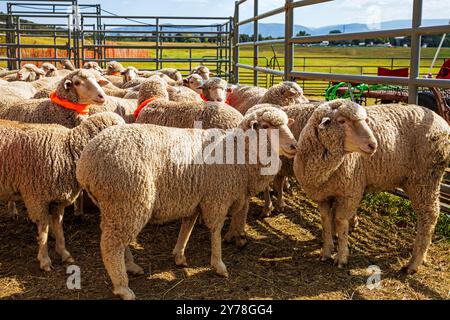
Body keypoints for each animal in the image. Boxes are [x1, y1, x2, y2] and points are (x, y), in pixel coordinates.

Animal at [0, 112, 125, 270]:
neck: (68, 148)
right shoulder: (36, 197)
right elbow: (44, 229)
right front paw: (45, 259)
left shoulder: (57, 199)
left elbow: (58, 226)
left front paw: (64, 253)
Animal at [75, 105, 298, 300]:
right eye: (266, 126)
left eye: (287, 124)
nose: (294, 146)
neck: (238, 151)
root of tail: (85, 164)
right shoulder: (217, 197)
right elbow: (215, 230)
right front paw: (218, 264)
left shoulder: (194, 197)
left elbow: (187, 226)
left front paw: (179, 255)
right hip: (128, 199)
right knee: (111, 245)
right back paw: (122, 287)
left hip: (117, 205)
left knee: (117, 239)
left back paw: (130, 266)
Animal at [292, 99, 450, 272]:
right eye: (341, 121)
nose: (373, 145)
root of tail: (442, 121)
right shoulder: (323, 194)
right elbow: (326, 220)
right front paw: (326, 252)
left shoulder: (350, 191)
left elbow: (340, 221)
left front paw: (341, 257)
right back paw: (422, 255)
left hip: (425, 179)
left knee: (429, 215)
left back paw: (414, 263)